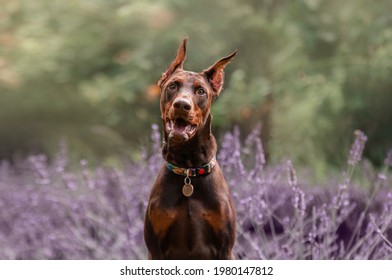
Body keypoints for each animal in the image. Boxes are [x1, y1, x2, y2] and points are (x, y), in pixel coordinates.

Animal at [144, 38, 236, 260]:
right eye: (172, 86)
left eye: (201, 91)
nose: (181, 105)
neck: (188, 170)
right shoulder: (155, 250)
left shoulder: (225, 250)